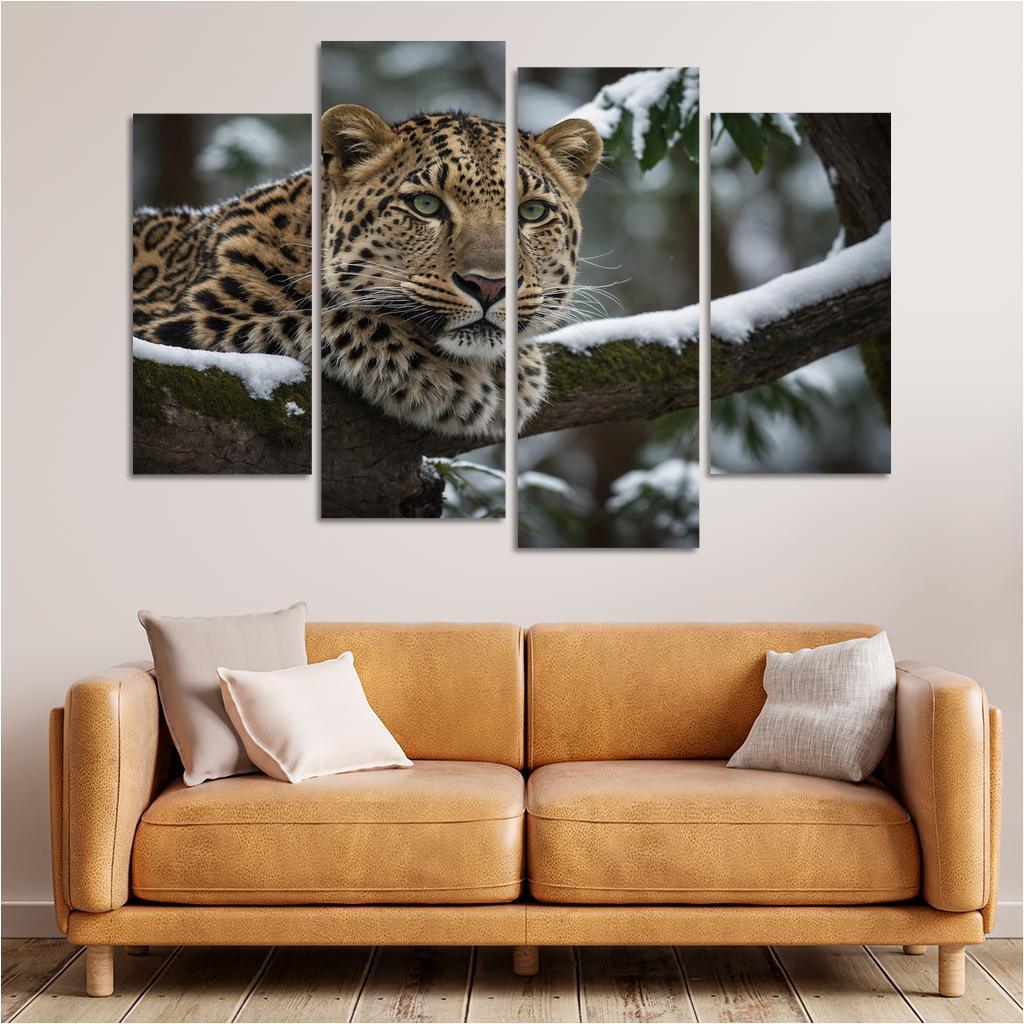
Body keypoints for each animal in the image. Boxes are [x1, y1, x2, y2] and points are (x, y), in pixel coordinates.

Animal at [132, 106, 602, 439]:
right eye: (426, 205)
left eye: (532, 212)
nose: (489, 285)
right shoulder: (174, 327)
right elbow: (334, 319)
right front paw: (452, 380)